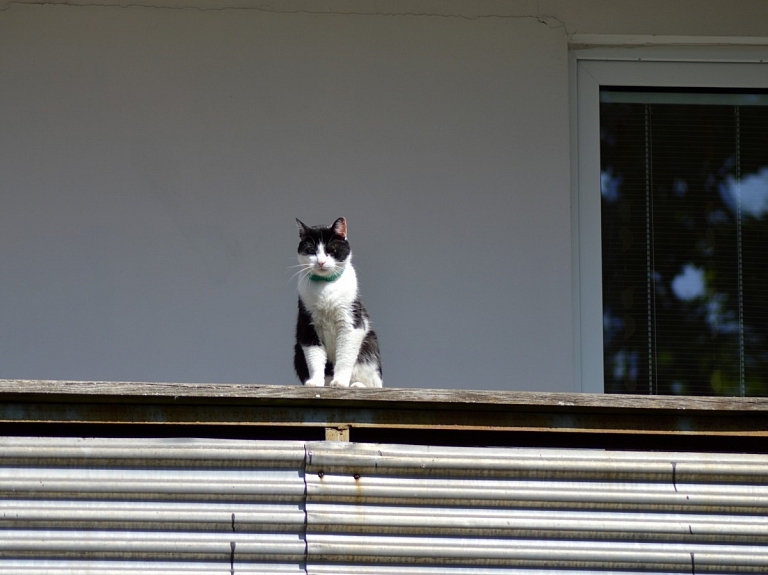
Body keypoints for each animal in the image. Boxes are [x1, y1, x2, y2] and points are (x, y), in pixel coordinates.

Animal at [292, 218, 382, 390]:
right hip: (297, 352)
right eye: (311, 250)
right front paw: (315, 382)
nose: (321, 262)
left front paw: (340, 382)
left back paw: (357, 385)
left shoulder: (351, 324)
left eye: (331, 250)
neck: (326, 287)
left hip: (370, 346)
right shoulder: (307, 325)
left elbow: (345, 357)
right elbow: (314, 357)